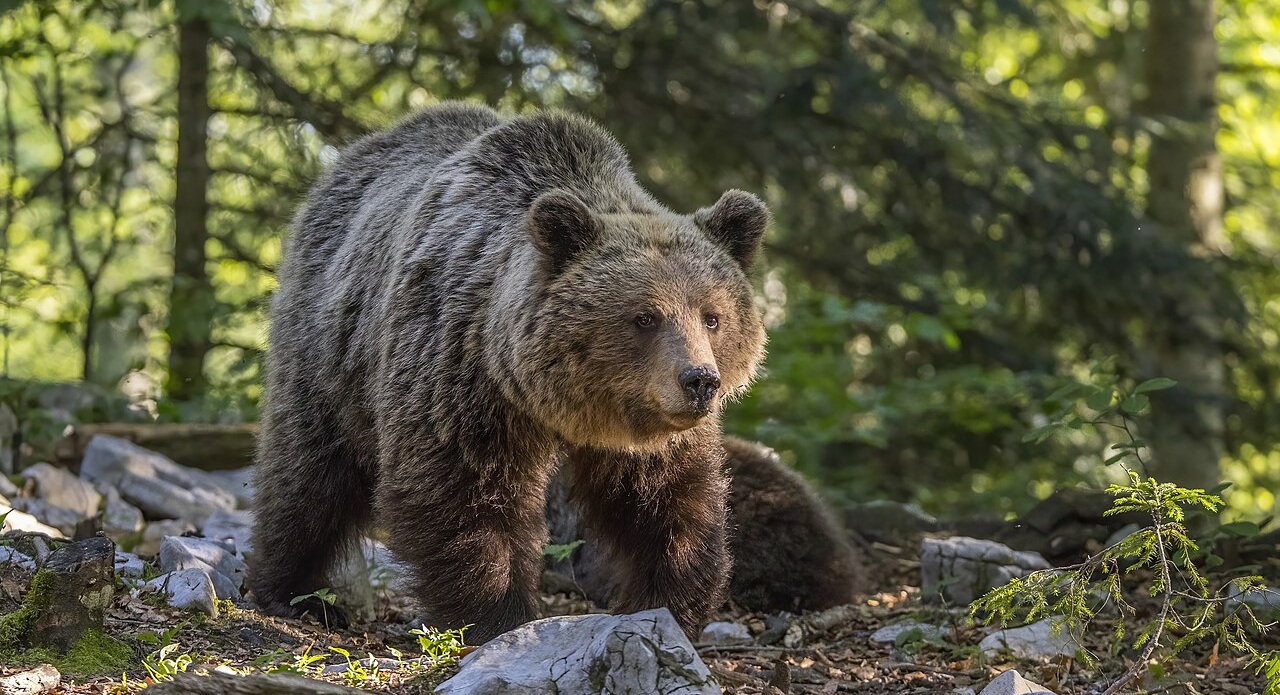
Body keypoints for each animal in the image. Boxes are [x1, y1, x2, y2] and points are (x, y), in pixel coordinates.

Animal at [249, 102, 770, 643]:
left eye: (712, 316)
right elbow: (464, 493)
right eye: (645, 317)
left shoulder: (647, 429)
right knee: (310, 472)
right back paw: (295, 591)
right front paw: (497, 614)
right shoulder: (459, 374)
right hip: (330, 347)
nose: (699, 380)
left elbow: (667, 502)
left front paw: (667, 603)